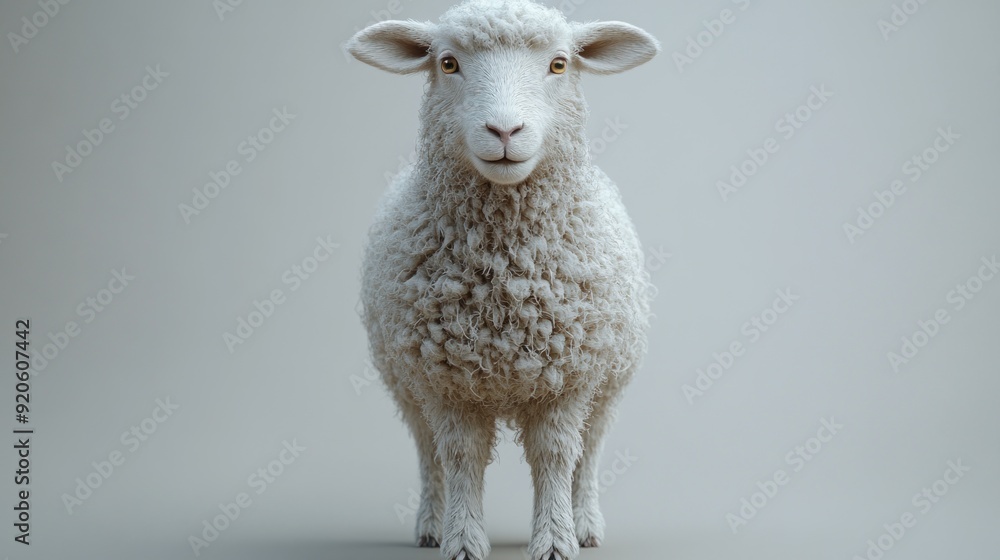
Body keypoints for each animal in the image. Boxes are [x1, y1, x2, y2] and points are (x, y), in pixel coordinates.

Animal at [347, 2, 658, 559]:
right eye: (448, 63)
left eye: (559, 64)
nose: (505, 131)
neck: (506, 280)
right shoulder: (443, 379)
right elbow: (460, 456)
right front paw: (462, 541)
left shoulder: (570, 376)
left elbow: (556, 455)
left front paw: (555, 540)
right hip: (404, 385)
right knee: (427, 452)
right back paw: (432, 524)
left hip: (610, 383)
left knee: (590, 452)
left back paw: (585, 523)